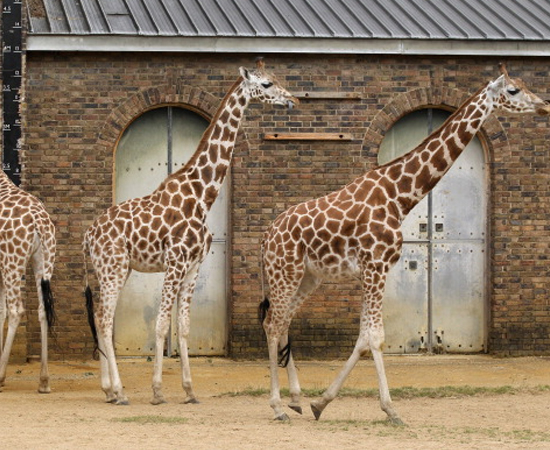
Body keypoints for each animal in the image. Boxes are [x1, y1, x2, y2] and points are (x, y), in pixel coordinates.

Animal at [0, 171, 56, 392]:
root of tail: (38, 220)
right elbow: (1, 312)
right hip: (44, 262)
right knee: (42, 310)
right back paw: (44, 381)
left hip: (13, 263)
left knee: (17, 310)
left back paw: (1, 376)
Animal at [260, 65, 550, 424]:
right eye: (512, 90)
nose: (544, 106)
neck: (400, 197)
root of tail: (266, 236)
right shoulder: (376, 266)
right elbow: (375, 337)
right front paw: (391, 409)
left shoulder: (372, 271)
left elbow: (363, 337)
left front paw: (321, 402)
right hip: (284, 272)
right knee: (273, 324)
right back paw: (277, 406)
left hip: (308, 277)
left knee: (283, 321)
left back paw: (297, 400)